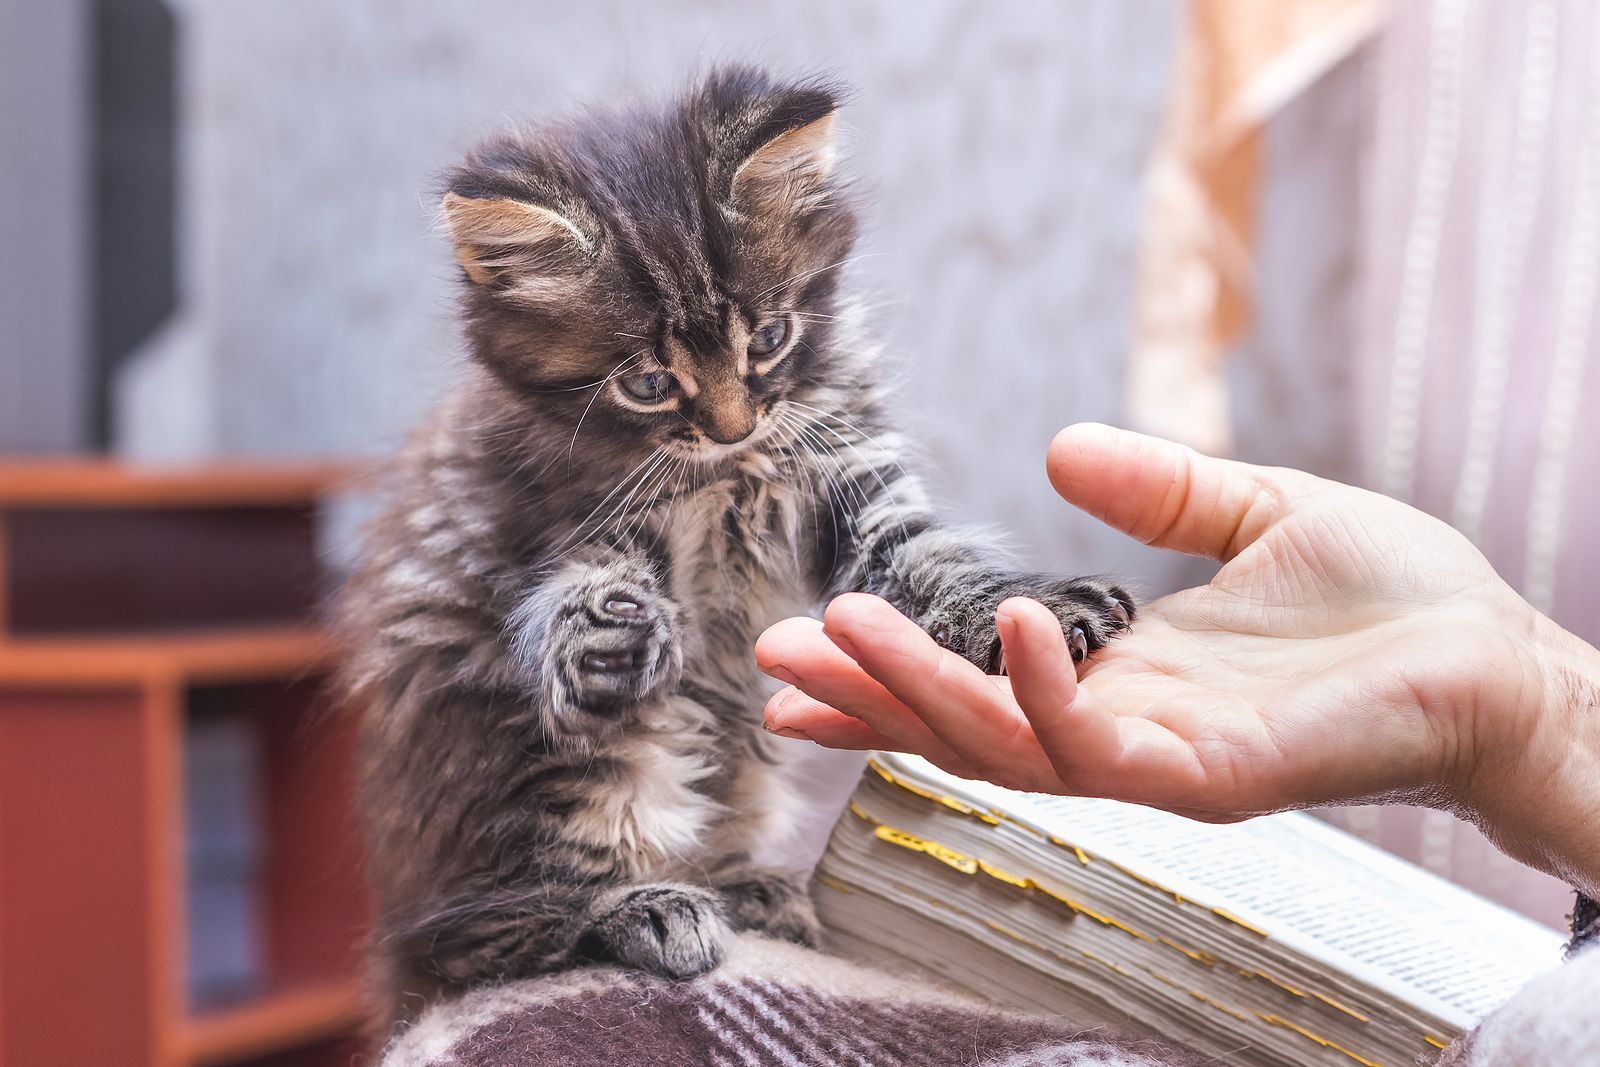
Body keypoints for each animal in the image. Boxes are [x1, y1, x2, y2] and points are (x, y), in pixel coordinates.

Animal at [344, 66, 1132, 1023]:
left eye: (768, 339)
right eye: (649, 384)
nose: (732, 424)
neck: (725, 476)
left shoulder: (849, 474)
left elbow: (929, 558)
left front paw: (1026, 605)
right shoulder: (563, 515)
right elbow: (578, 593)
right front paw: (608, 634)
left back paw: (749, 888)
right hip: (528, 757)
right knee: (476, 939)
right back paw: (649, 909)